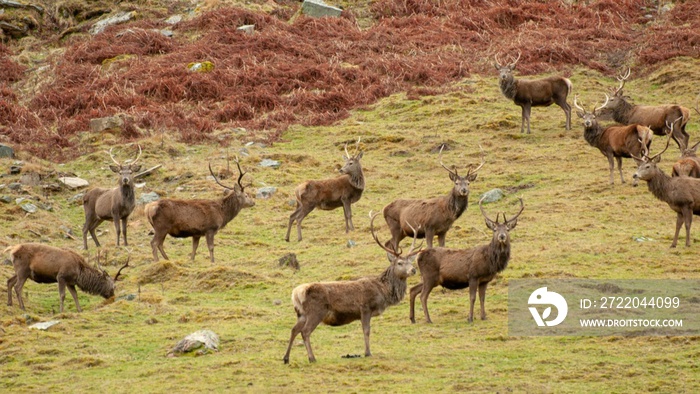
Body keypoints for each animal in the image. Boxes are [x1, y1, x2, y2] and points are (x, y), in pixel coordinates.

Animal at [284, 212, 422, 364]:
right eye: (399, 263)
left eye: (410, 261)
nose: (413, 270)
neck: (383, 291)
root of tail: (296, 293)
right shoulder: (365, 308)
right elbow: (366, 330)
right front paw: (368, 353)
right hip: (316, 311)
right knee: (305, 331)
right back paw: (312, 358)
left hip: (301, 314)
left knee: (293, 330)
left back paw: (286, 358)